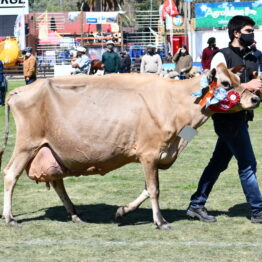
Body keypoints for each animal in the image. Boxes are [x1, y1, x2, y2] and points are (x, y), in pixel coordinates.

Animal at [0, 62, 260, 228]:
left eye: (239, 79)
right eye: (225, 84)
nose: (255, 98)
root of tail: (20, 90)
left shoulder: (155, 155)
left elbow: (148, 188)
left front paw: (121, 212)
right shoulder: (150, 153)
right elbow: (154, 189)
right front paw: (160, 221)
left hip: (53, 151)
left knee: (57, 182)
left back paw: (75, 215)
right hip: (27, 144)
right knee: (11, 174)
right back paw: (10, 218)